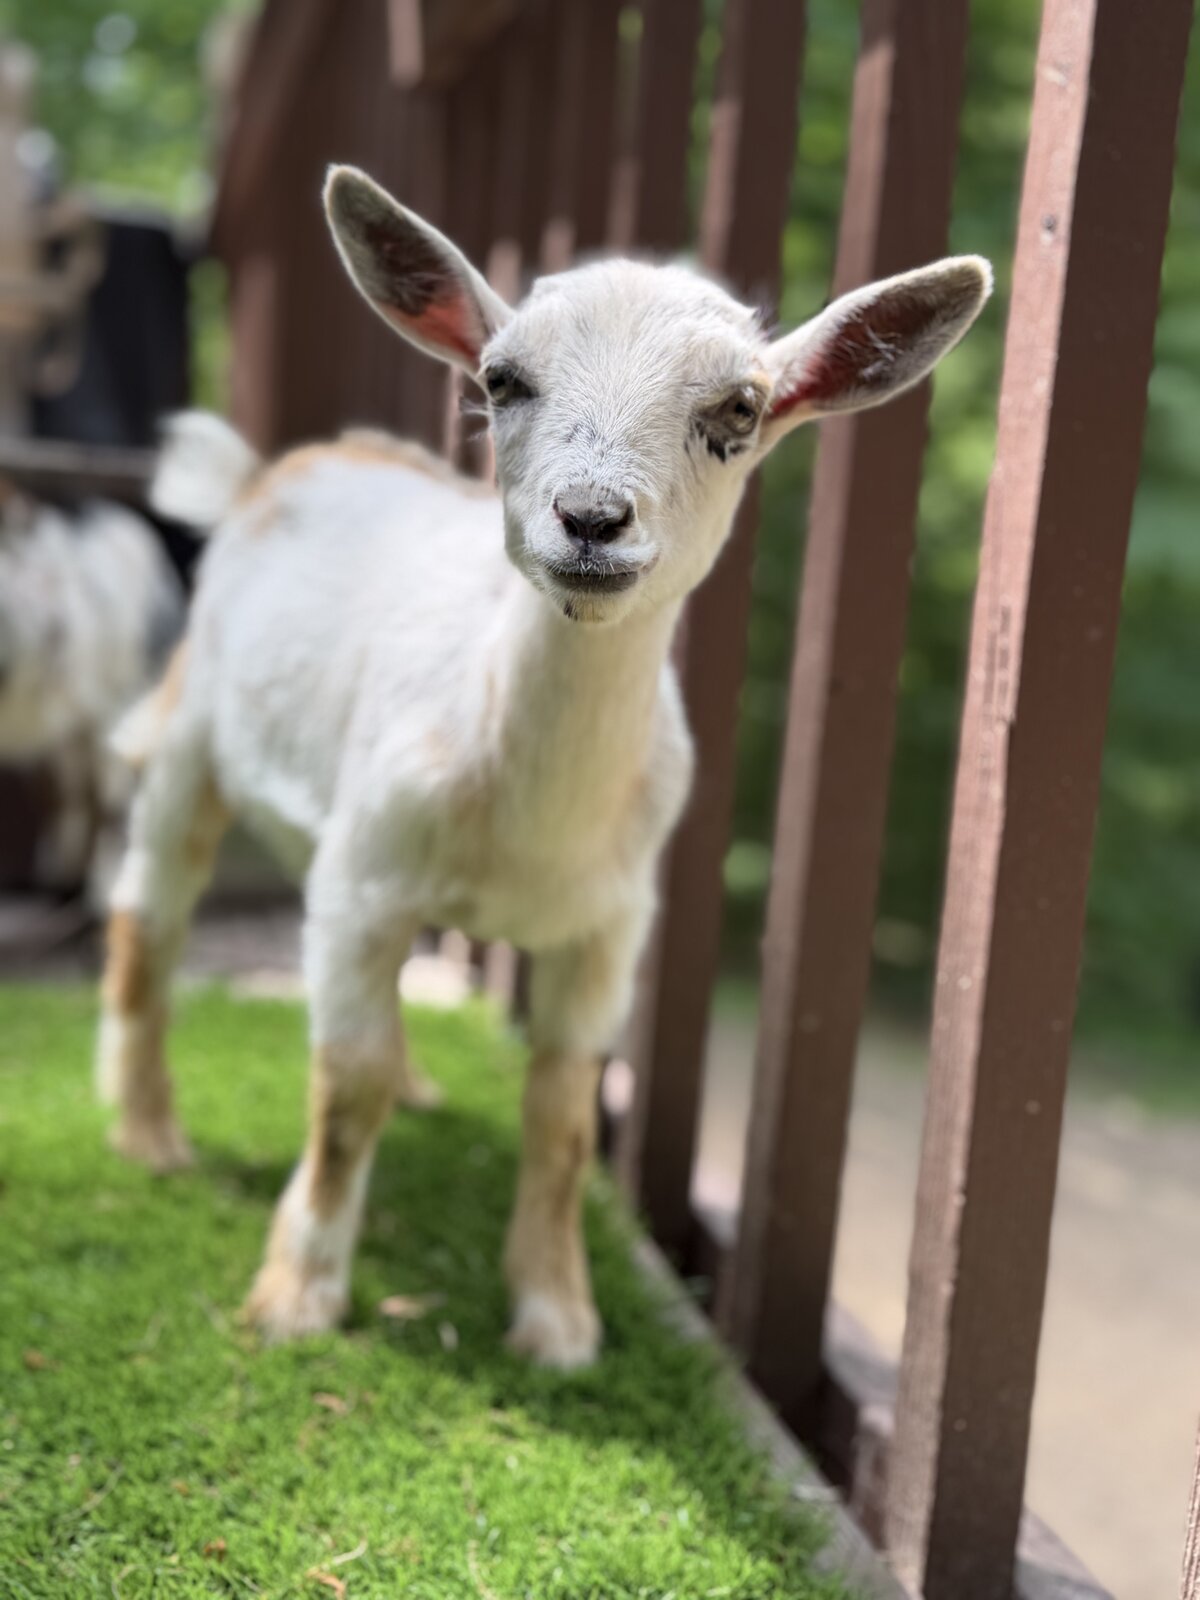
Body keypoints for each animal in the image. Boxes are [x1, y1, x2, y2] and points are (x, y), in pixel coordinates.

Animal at [96, 165, 990, 1367]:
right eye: (502, 378)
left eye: (740, 408)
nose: (592, 519)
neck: (530, 821)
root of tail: (276, 471)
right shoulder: (364, 879)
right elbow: (345, 1088)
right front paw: (296, 1295)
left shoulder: (608, 928)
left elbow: (563, 1113)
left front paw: (558, 1318)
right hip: (190, 737)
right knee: (151, 913)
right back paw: (148, 1134)